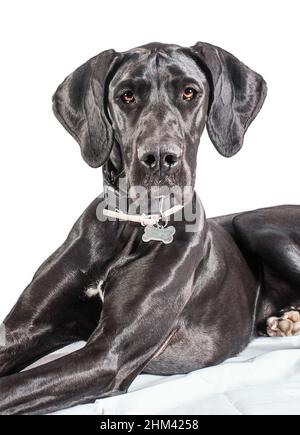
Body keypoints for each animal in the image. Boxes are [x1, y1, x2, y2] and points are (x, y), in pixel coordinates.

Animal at [0, 41, 300, 416]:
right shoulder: (24, 331)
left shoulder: (107, 354)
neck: (135, 223)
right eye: (126, 96)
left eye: (189, 92)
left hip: (253, 222)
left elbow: (11, 388)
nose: (159, 158)